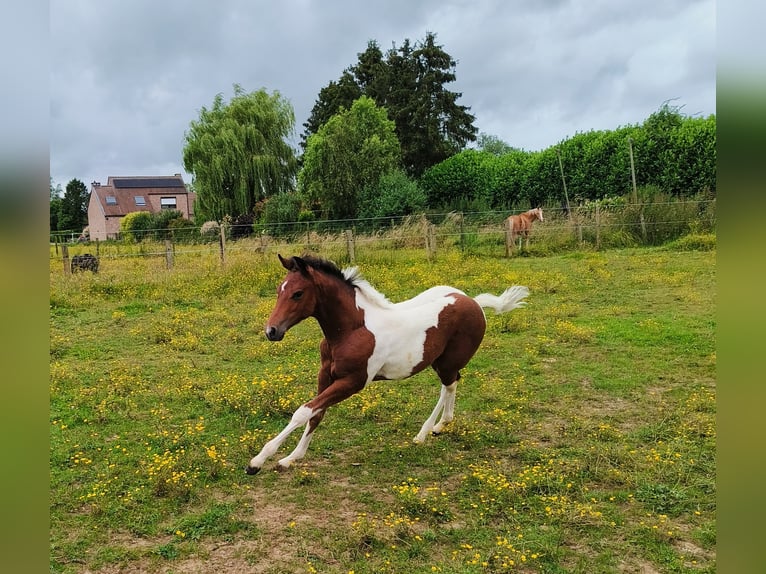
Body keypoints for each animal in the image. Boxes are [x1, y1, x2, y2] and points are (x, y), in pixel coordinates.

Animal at [246, 256, 528, 476]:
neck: (352, 330)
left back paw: (425, 431)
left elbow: (303, 411)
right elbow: (316, 413)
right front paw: (291, 458)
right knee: (452, 384)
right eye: (278, 290)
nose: (272, 331)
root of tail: (475, 302)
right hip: (441, 362)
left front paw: (258, 461)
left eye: (298, 293)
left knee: (448, 386)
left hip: (447, 362)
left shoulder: (353, 382)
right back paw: (438, 427)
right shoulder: (325, 375)